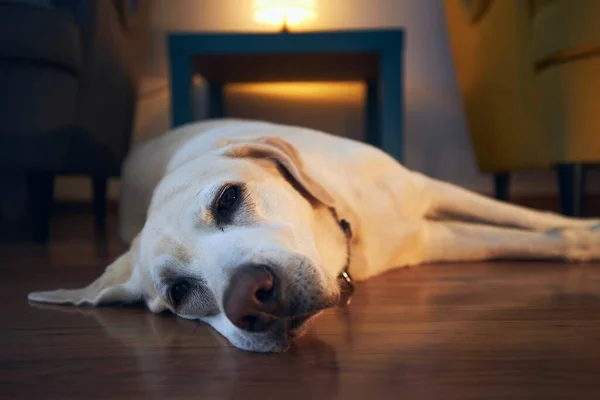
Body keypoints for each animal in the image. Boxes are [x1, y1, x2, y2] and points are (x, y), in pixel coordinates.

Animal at [27, 119, 600, 354]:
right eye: (179, 293)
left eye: (228, 198)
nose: (251, 299)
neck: (352, 233)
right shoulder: (433, 239)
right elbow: (528, 237)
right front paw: (583, 238)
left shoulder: (427, 190)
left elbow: (527, 219)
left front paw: (586, 230)